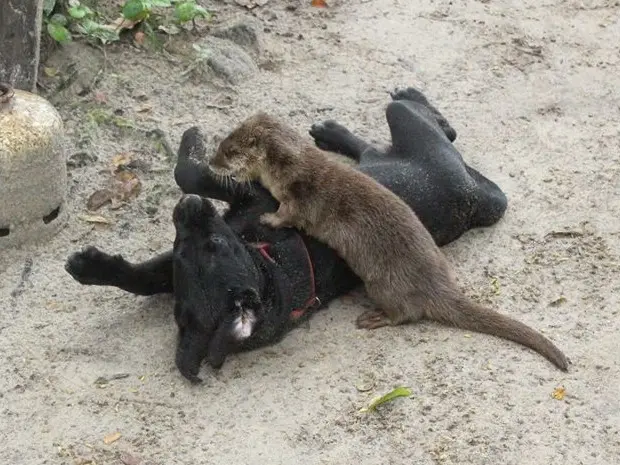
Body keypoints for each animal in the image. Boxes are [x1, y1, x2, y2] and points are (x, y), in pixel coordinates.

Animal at [65, 87, 508, 380]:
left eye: (215, 245)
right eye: (190, 249)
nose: (189, 207)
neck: (269, 265)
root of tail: (478, 198)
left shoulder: (250, 194)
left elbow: (189, 174)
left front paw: (192, 140)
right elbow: (142, 278)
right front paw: (89, 267)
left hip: (408, 127)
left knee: (422, 117)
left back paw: (389, 101)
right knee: (379, 142)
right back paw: (331, 131)